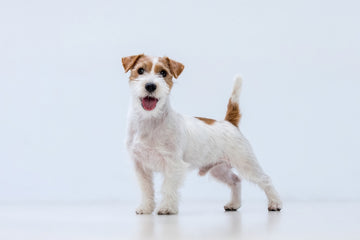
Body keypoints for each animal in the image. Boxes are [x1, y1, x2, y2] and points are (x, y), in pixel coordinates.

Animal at [122, 54, 282, 216]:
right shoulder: (140, 166)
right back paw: (233, 204)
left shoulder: (173, 164)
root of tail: (229, 122)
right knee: (236, 180)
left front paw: (167, 208)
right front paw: (146, 207)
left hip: (246, 163)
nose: (150, 86)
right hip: (219, 169)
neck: (149, 121)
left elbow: (168, 187)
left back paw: (275, 203)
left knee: (265, 179)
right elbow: (146, 189)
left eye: (163, 73)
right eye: (140, 70)